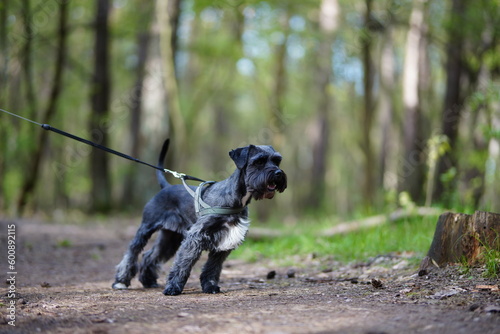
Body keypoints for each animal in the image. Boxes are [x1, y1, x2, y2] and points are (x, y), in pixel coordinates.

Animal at [112, 138, 288, 294]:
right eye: (259, 161)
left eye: (277, 161)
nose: (278, 173)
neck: (235, 198)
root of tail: (166, 187)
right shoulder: (196, 236)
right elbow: (183, 263)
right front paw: (173, 288)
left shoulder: (225, 241)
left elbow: (213, 268)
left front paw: (210, 286)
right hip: (146, 228)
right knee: (133, 251)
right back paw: (121, 281)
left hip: (170, 238)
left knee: (151, 256)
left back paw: (148, 281)